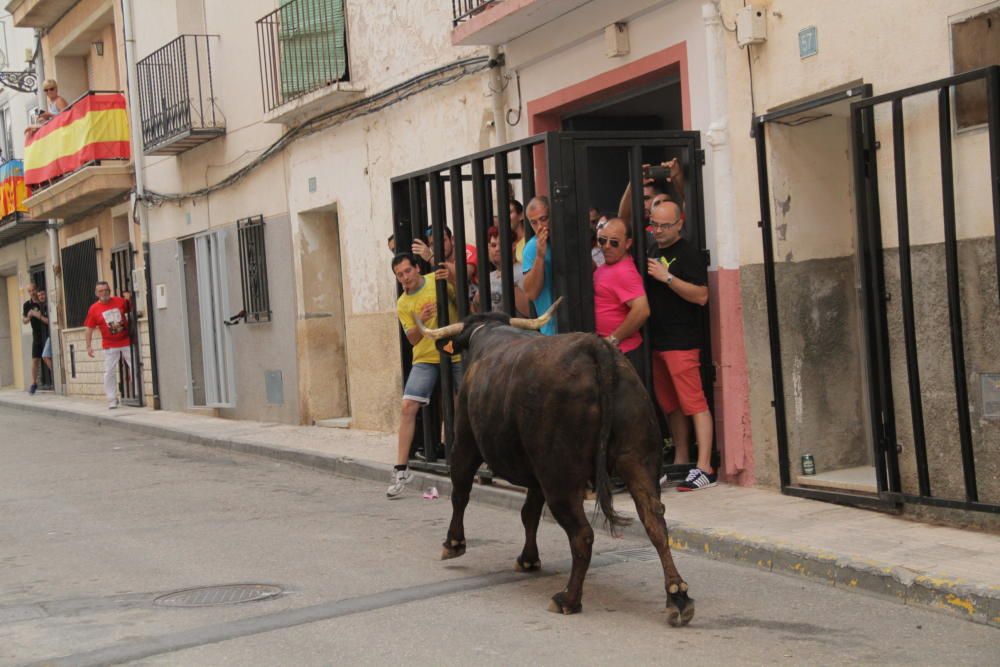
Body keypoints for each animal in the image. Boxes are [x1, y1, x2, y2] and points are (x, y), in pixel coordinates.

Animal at [418, 298, 692, 628]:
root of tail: (594, 348)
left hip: (560, 477)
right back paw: (678, 596)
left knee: (582, 534)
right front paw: (528, 558)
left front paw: (454, 544)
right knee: (655, 521)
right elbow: (529, 514)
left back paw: (568, 599)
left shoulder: (465, 444)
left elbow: (461, 493)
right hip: (638, 459)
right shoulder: (535, 472)